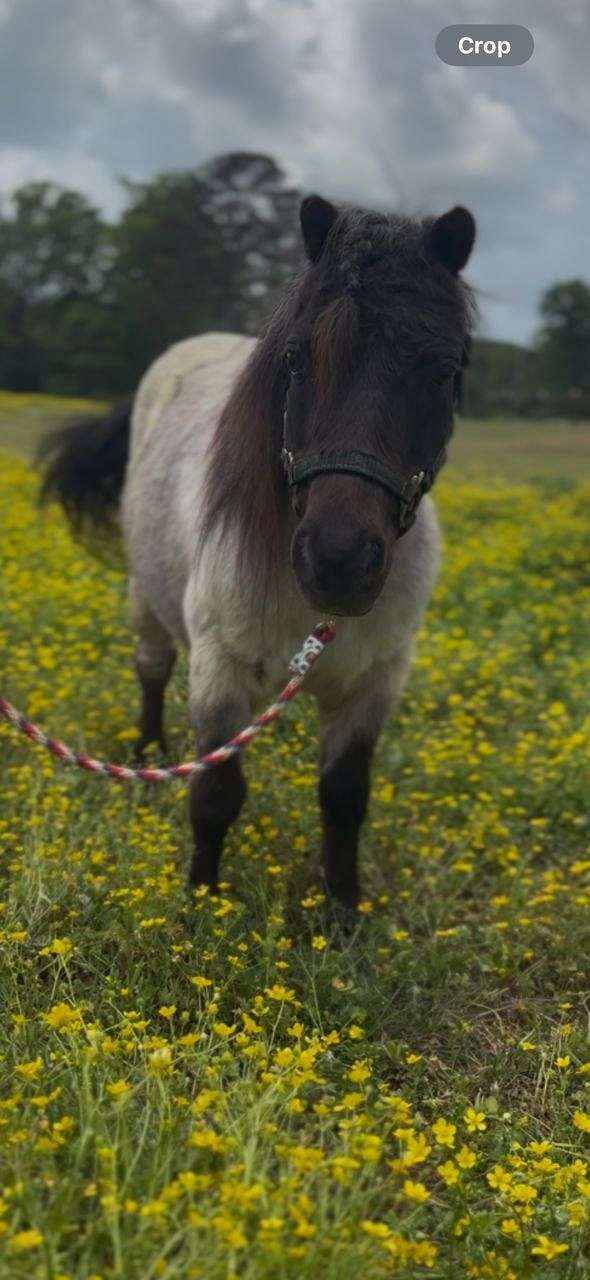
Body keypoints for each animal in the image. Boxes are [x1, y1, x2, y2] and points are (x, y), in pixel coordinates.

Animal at [40, 194, 476, 912]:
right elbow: (215, 794)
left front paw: (342, 909)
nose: (337, 561)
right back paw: (147, 750)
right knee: (151, 669)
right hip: (145, 601)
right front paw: (201, 908)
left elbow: (344, 797)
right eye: (297, 359)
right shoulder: (221, 671)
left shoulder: (373, 687)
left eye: (443, 371)